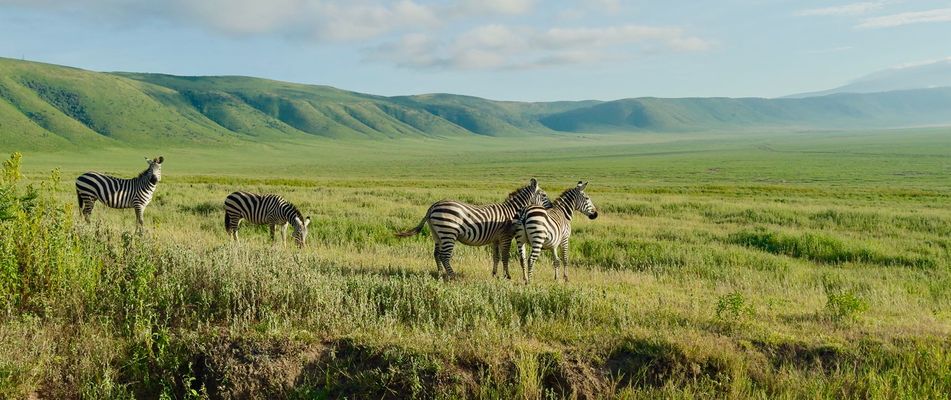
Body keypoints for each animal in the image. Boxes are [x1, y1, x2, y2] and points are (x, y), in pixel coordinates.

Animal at [396, 178, 552, 280]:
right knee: (444, 256)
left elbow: (496, 257)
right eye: (544, 195)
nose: (551, 207)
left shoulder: (496, 238)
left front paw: (494, 275)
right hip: (448, 232)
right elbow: (505, 256)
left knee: (436, 254)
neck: (512, 211)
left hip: (437, 234)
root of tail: (433, 206)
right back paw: (453, 276)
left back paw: (440, 275)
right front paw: (507, 276)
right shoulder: (505, 236)